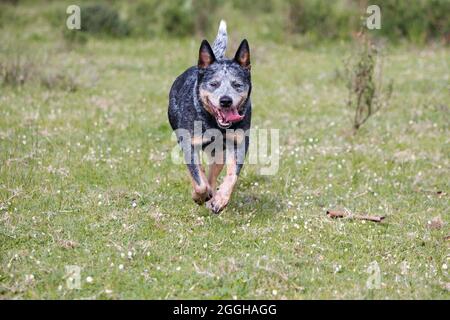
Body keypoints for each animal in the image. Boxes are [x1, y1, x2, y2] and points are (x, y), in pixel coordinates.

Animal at [169, 20, 251, 215]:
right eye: (214, 84)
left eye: (237, 85)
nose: (226, 101)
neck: (215, 124)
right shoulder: (189, 144)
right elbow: (198, 181)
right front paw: (198, 196)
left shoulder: (239, 143)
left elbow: (232, 176)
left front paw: (220, 199)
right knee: (199, 172)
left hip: (219, 152)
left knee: (212, 176)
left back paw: (213, 196)